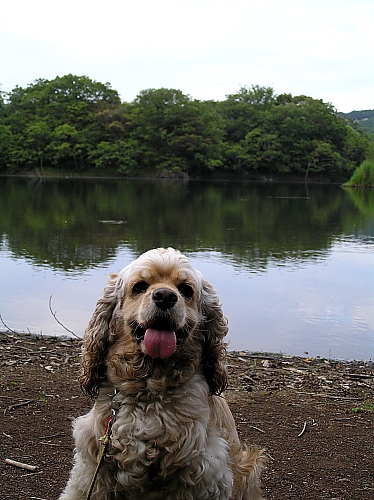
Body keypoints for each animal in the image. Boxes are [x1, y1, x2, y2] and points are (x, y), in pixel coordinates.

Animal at [59, 247, 266, 500]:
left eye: (186, 290)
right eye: (139, 286)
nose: (166, 296)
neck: (149, 389)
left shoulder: (204, 475)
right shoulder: (92, 468)